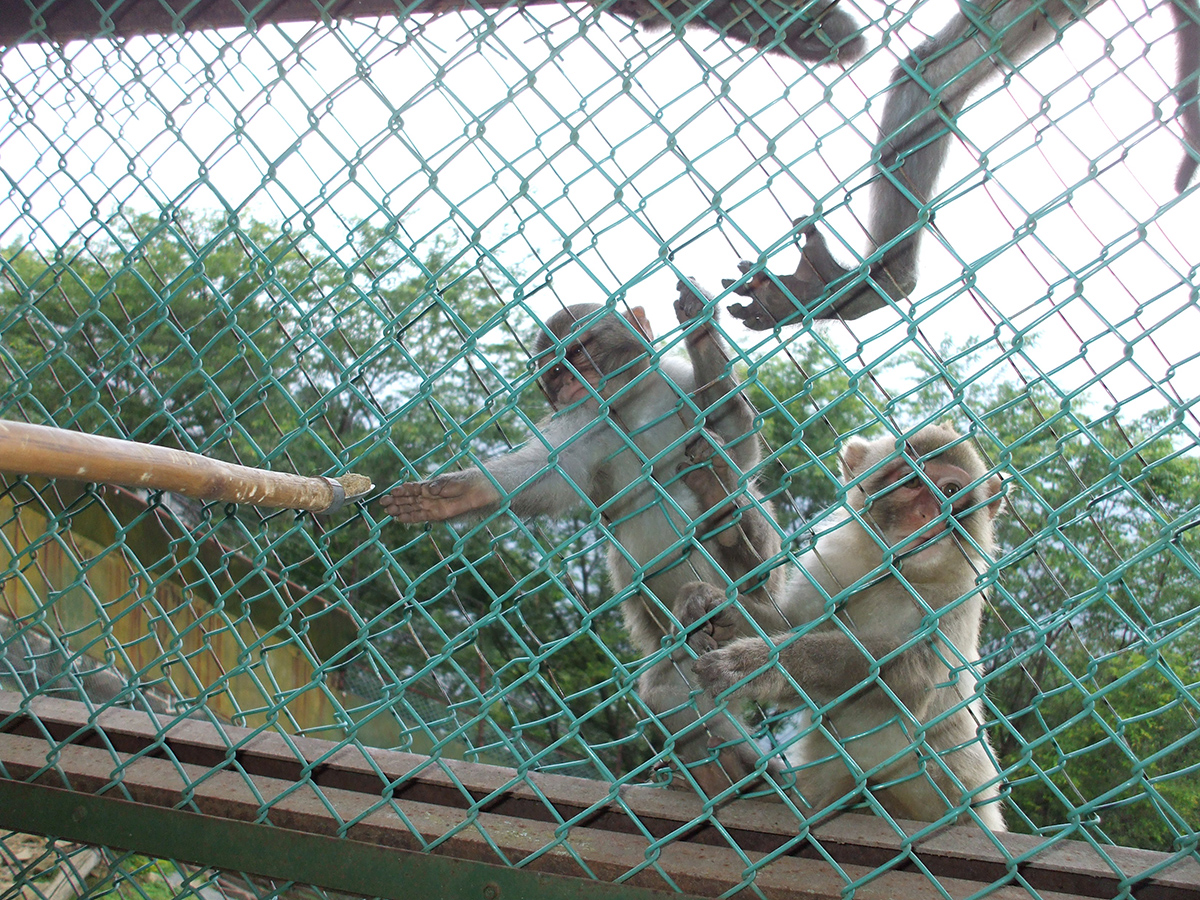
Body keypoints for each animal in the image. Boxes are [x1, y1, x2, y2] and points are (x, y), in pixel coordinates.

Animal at [381, 282, 787, 796]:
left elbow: (738, 437)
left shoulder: (672, 383)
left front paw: (702, 339)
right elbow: (554, 472)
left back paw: (731, 526)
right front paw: (462, 493)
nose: (568, 384)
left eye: (578, 352)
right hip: (687, 645)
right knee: (667, 690)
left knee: (740, 505)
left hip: (762, 599)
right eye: (554, 374)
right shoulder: (592, 422)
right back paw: (729, 771)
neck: (631, 405)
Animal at [681, 427, 1008, 835]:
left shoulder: (960, 596)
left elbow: (912, 676)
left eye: (950, 490)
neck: (896, 573)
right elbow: (792, 622)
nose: (927, 513)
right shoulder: (834, 561)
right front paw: (716, 609)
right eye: (911, 481)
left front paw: (761, 664)